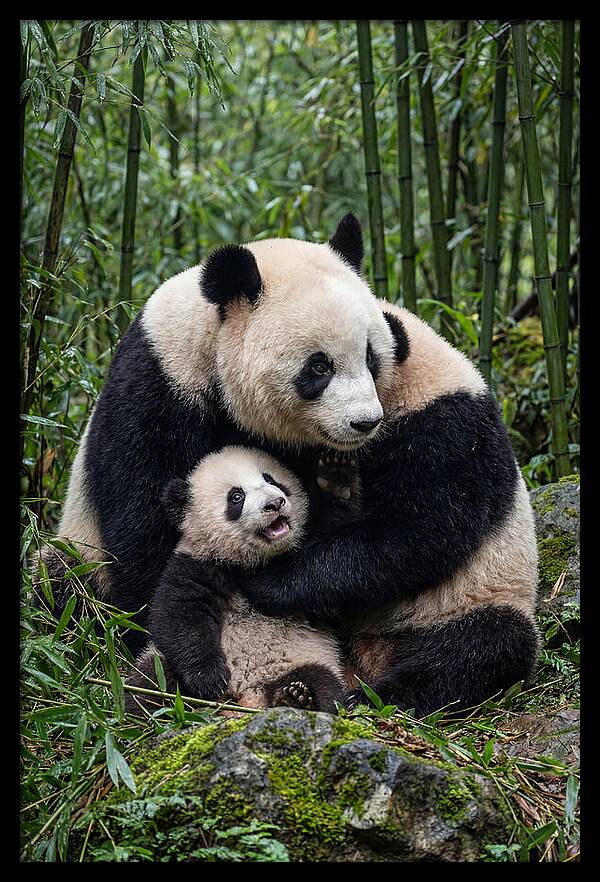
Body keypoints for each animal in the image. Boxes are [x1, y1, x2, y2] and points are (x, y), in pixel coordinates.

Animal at [126, 445, 346, 715]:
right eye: (236, 497)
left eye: (272, 480)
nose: (275, 503)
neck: (248, 562)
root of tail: (247, 695)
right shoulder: (196, 565)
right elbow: (179, 616)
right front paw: (209, 679)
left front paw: (336, 480)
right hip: (159, 663)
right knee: (149, 684)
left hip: (304, 658)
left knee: (323, 682)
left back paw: (298, 697)